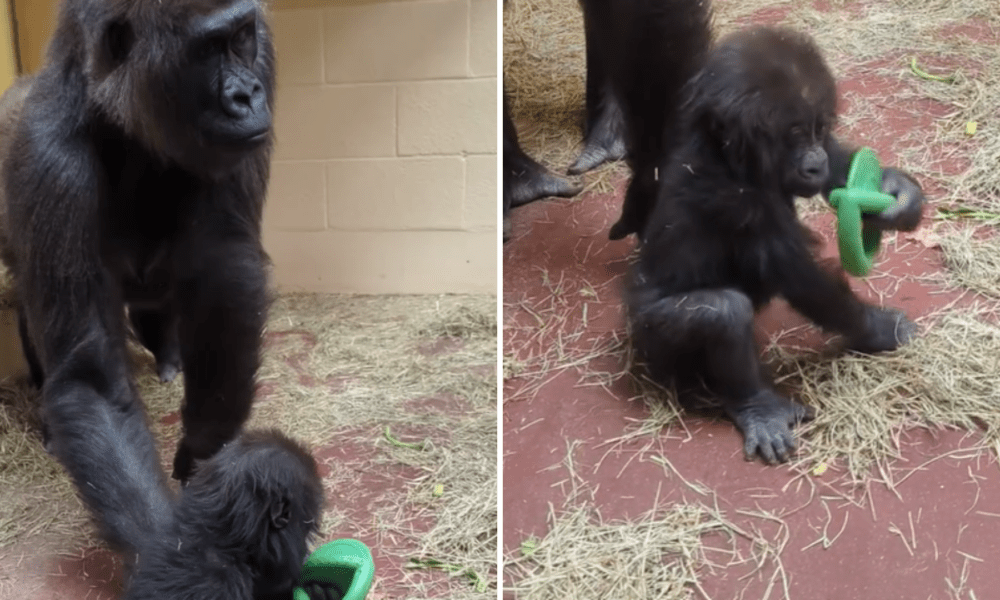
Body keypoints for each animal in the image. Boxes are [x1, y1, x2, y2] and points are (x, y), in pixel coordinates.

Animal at [0, 0, 274, 480]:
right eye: (207, 49)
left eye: (241, 36)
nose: (248, 94)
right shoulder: (47, 158)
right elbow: (92, 379)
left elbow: (224, 266)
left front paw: (204, 451)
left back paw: (167, 355)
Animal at [628, 24, 924, 464]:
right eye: (794, 135)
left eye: (818, 129)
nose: (814, 160)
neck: (731, 159)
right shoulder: (739, 203)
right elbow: (803, 280)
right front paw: (880, 329)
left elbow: (838, 171)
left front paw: (899, 194)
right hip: (650, 339)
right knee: (722, 312)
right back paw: (757, 407)